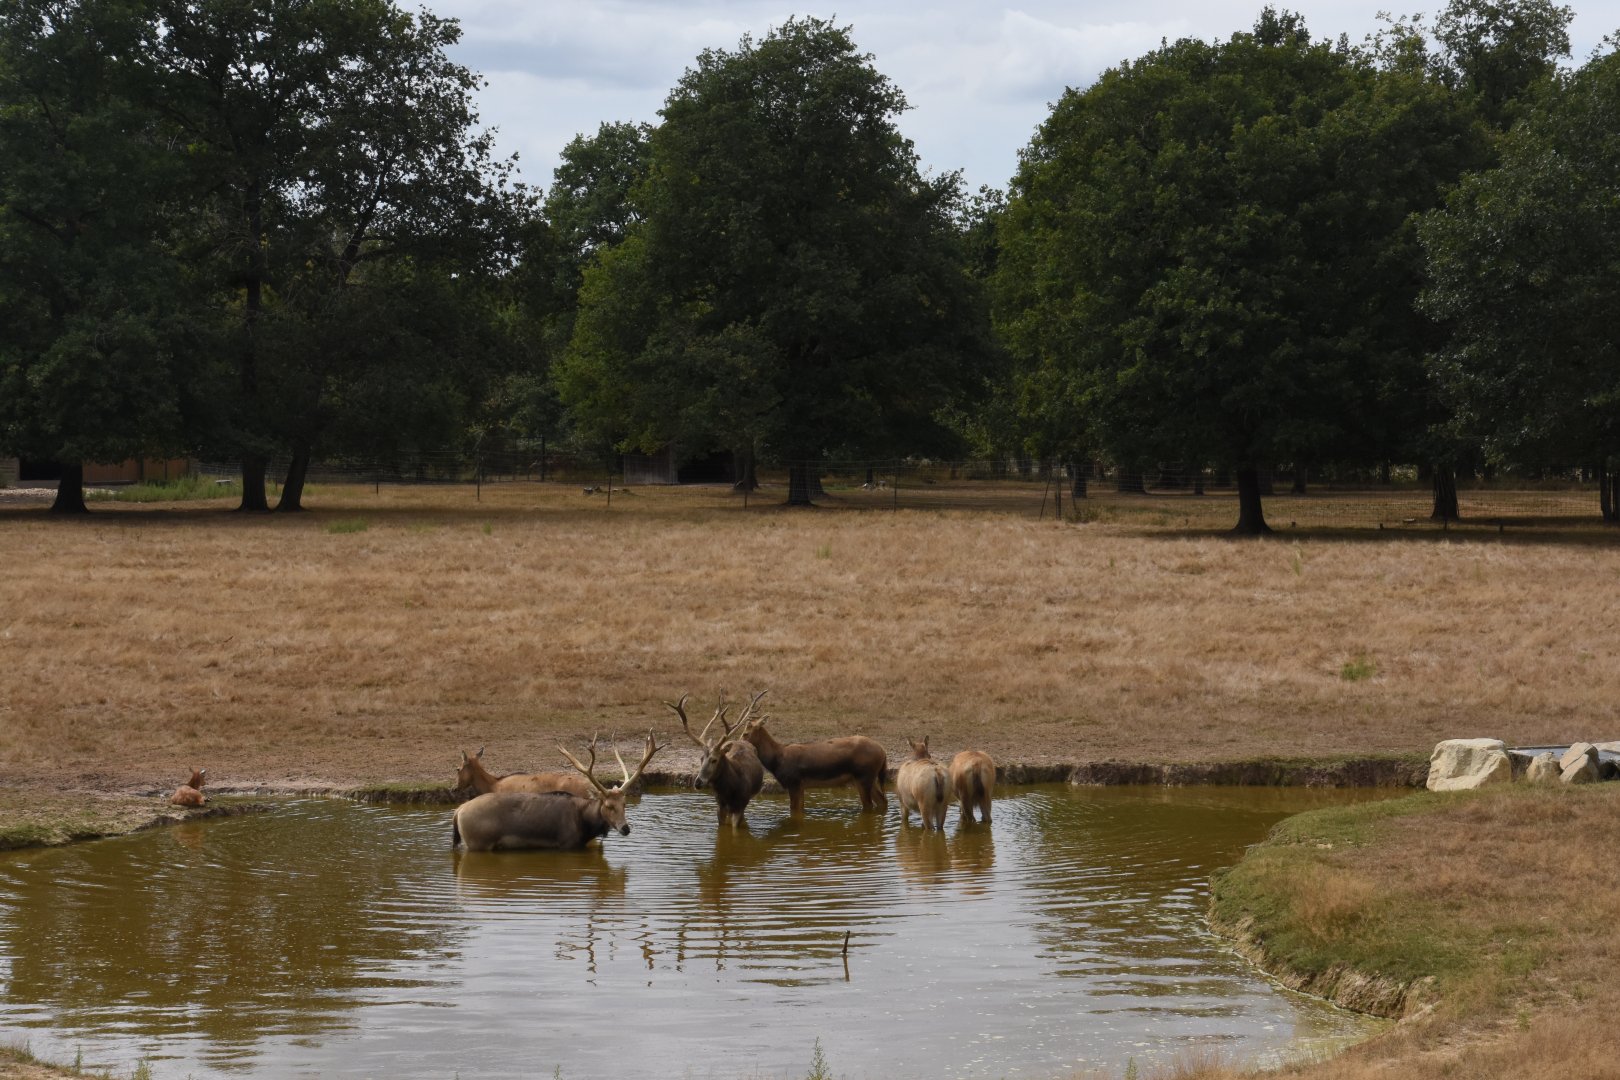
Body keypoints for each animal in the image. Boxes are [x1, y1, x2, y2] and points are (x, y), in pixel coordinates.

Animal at [670, 691, 766, 828]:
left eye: (714, 760)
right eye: (701, 758)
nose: (698, 782)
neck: (730, 790)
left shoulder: (740, 804)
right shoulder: (720, 805)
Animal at [742, 713, 886, 817]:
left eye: (745, 733)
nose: (739, 744)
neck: (777, 759)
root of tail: (883, 751)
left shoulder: (794, 782)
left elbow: (794, 809)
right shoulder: (800, 785)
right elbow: (800, 808)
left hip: (864, 776)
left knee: (869, 805)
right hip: (868, 778)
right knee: (882, 801)